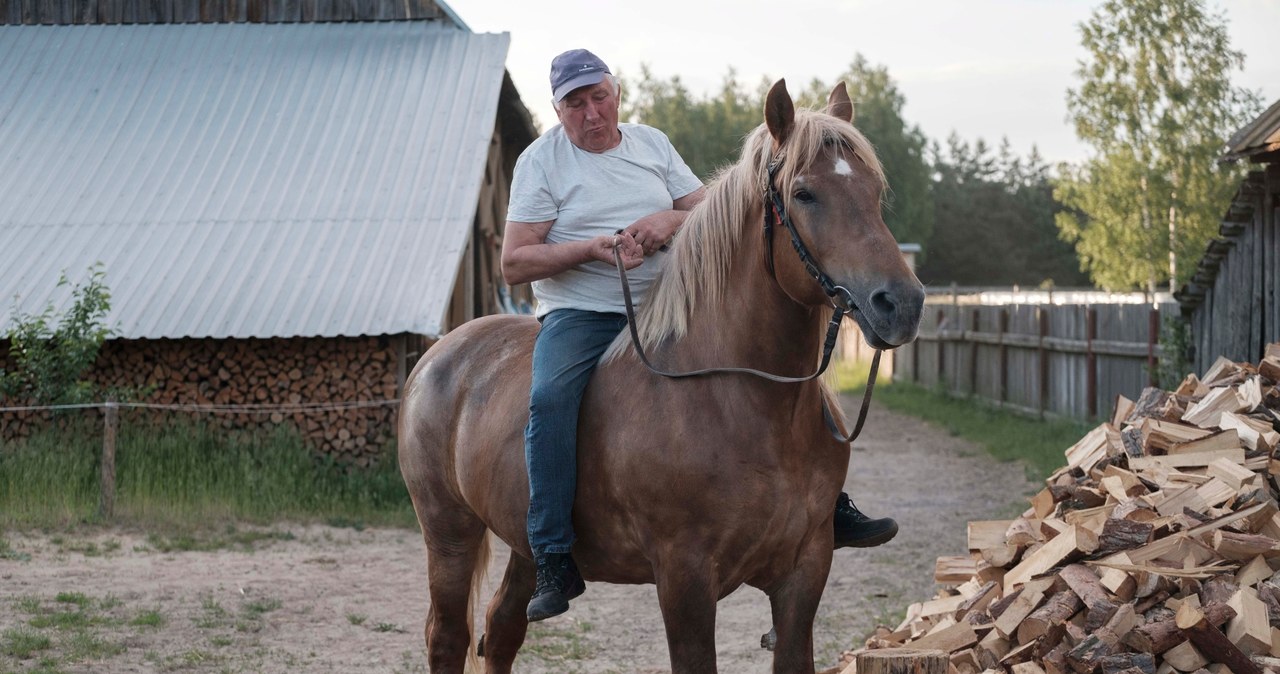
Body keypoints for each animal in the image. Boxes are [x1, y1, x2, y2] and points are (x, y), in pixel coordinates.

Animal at [394, 80, 926, 674]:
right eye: (805, 194)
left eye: (875, 190)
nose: (900, 304)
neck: (738, 402)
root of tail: (438, 356)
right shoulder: (684, 580)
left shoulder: (804, 574)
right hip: (448, 532)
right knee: (448, 636)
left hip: (522, 545)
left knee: (502, 627)